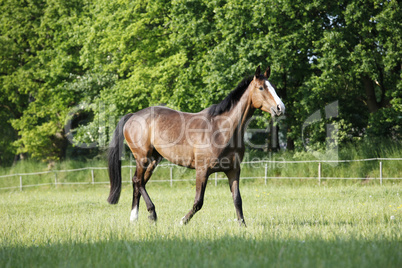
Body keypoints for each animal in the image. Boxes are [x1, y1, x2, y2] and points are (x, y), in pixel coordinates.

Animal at [105, 66, 284, 225]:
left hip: (153, 160)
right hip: (142, 157)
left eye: (274, 87)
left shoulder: (233, 171)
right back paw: (151, 213)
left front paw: (242, 225)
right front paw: (182, 221)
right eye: (261, 87)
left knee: (139, 182)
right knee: (137, 181)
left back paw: (135, 218)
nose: (280, 108)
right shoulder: (202, 170)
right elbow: (199, 202)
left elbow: (237, 199)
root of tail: (133, 116)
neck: (222, 129)